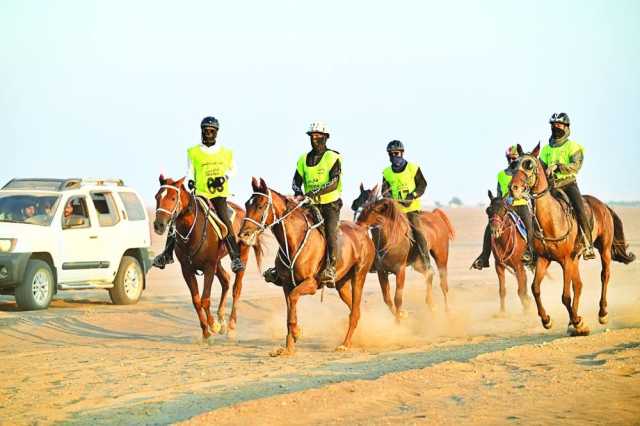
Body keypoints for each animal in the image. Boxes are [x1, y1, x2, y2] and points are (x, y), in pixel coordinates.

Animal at [153, 174, 262, 340]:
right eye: (157, 197)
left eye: (172, 198)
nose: (158, 225)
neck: (192, 232)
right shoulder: (187, 269)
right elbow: (196, 301)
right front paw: (206, 332)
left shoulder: (209, 267)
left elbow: (205, 299)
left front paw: (213, 325)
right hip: (218, 262)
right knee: (226, 280)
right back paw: (222, 321)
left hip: (241, 254)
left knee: (236, 288)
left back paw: (230, 326)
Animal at [238, 178, 376, 354]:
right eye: (247, 204)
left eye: (260, 205)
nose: (243, 234)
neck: (293, 242)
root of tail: (363, 231)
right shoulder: (286, 285)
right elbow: (289, 313)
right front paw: (288, 349)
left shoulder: (310, 284)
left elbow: (293, 300)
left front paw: (297, 332)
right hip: (341, 284)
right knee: (354, 309)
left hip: (359, 276)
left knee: (355, 311)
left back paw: (345, 344)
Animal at [350, 185, 456, 322]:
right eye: (360, 200)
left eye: (374, 208)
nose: (358, 223)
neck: (390, 239)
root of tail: (435, 215)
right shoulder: (381, 272)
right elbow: (387, 299)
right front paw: (402, 315)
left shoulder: (400, 270)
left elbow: (398, 299)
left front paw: (399, 321)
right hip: (418, 264)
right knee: (429, 274)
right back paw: (431, 305)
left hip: (441, 256)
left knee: (443, 283)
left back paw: (447, 312)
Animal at [510, 145, 636, 334]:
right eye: (514, 164)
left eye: (529, 165)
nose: (513, 188)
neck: (552, 220)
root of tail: (603, 206)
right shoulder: (544, 259)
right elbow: (536, 289)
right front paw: (548, 320)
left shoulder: (566, 260)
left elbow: (565, 296)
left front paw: (577, 322)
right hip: (576, 259)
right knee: (579, 285)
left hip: (604, 249)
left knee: (604, 275)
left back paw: (602, 313)